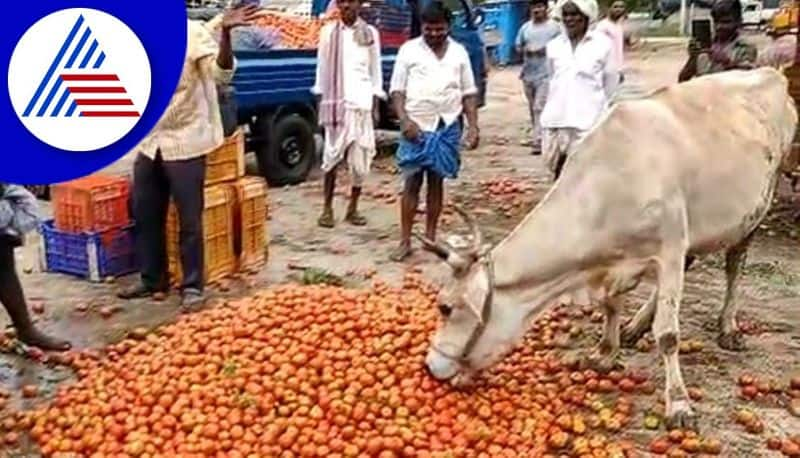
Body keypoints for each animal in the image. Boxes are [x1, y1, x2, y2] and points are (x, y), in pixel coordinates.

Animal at [416, 67, 796, 430]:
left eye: (446, 307)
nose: (430, 365)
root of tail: (771, 73)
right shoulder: (620, 259)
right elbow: (612, 306)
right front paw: (605, 352)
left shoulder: (670, 246)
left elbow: (668, 334)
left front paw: (679, 404)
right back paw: (636, 326)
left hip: (758, 206)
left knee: (734, 266)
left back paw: (728, 327)